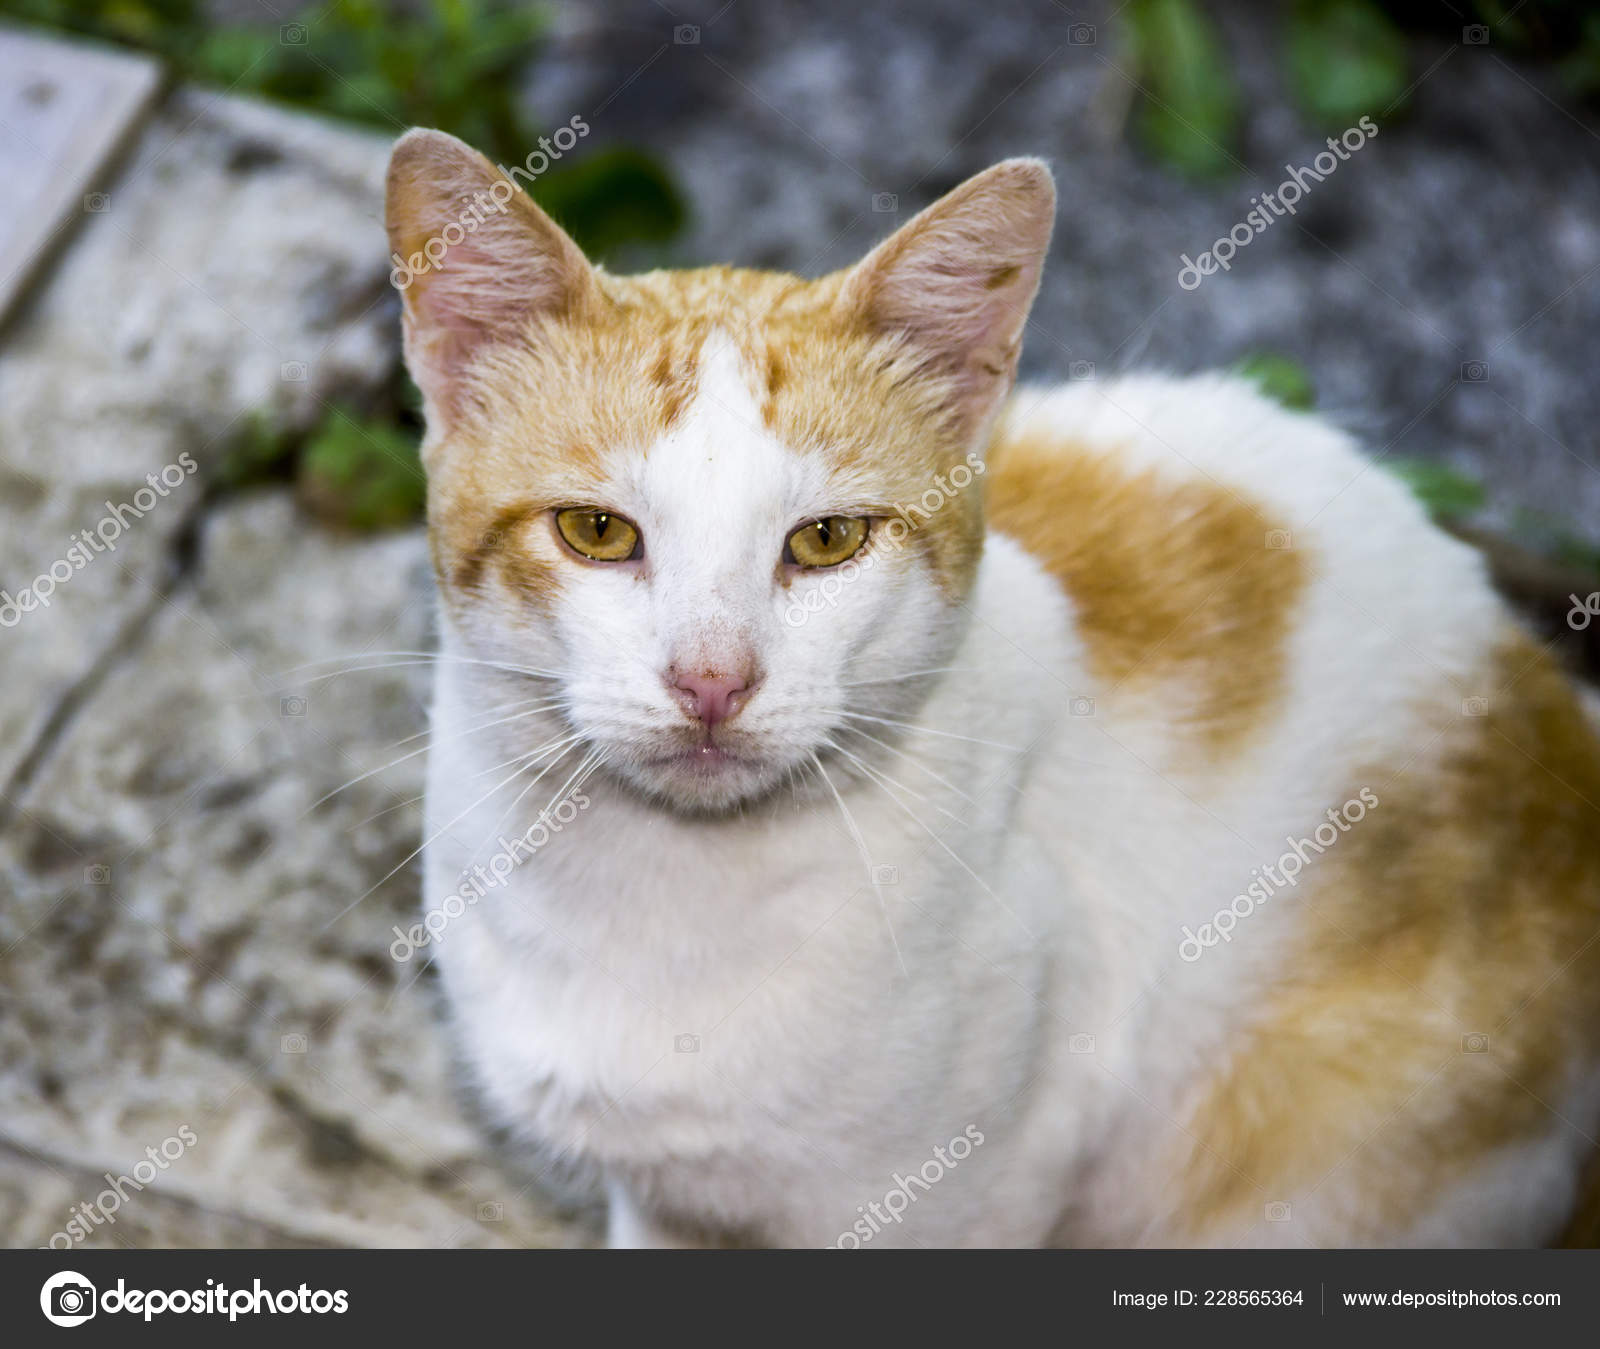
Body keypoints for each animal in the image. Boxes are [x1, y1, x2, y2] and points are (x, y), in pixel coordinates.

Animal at [384, 132, 1600, 1248]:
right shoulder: (666, 1207)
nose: (712, 679)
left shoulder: (973, 1188)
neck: (663, 895)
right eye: (596, 531)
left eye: (826, 539)